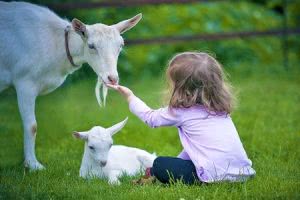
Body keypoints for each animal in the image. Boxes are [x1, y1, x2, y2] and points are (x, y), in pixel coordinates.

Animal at [0, 1, 142, 170]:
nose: (112, 78)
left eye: (121, 45)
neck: (56, 44)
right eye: (91, 46)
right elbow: (32, 126)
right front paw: (33, 165)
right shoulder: (24, 81)